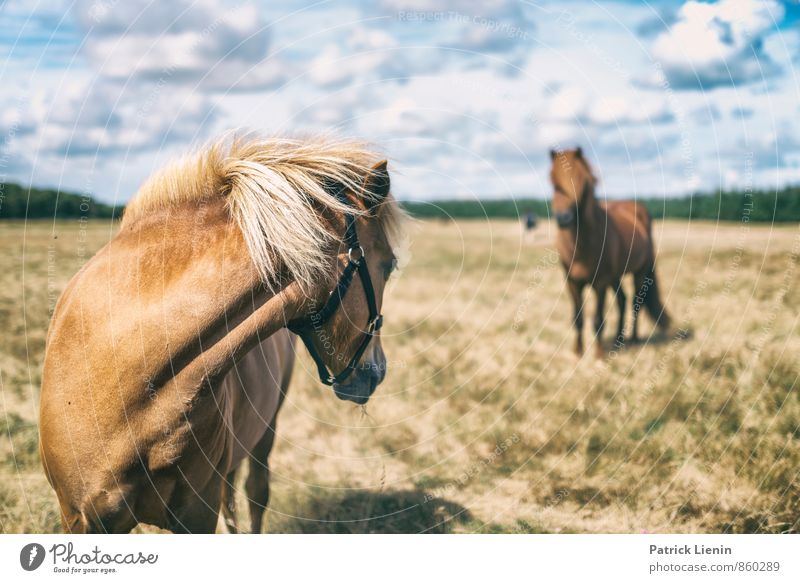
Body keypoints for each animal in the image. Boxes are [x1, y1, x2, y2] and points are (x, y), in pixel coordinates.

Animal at [552, 147, 668, 356]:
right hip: (615, 277)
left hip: (638, 272)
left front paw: (598, 355)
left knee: (635, 302)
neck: (582, 245)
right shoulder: (572, 282)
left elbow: (598, 319)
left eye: (583, 181)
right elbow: (578, 318)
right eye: (553, 181)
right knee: (622, 300)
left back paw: (634, 339)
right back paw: (617, 341)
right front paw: (577, 352)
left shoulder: (600, 283)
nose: (564, 218)